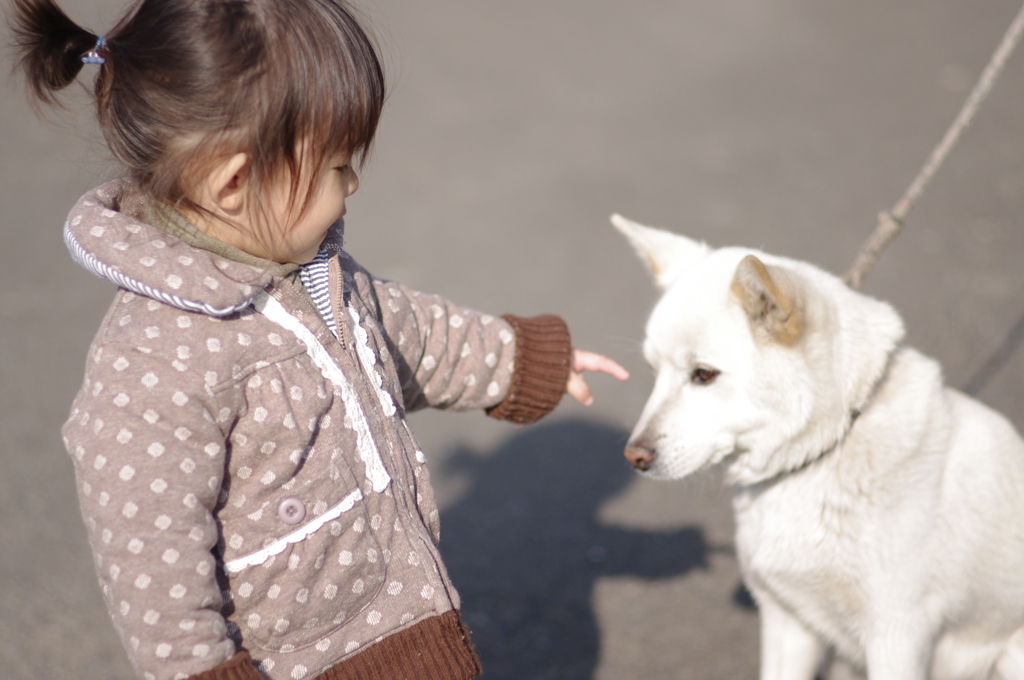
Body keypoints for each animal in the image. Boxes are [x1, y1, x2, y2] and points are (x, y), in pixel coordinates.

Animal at [610, 216, 1024, 680]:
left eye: (703, 374)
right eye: (653, 371)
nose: (633, 457)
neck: (828, 449)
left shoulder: (897, 637)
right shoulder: (788, 622)